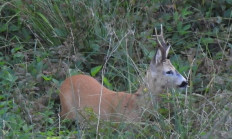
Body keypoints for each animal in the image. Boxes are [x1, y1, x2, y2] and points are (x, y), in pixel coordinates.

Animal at [59, 25, 188, 122]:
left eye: (175, 68)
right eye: (168, 71)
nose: (185, 82)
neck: (136, 104)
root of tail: (65, 82)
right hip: (67, 112)